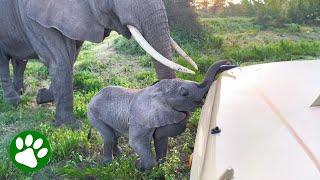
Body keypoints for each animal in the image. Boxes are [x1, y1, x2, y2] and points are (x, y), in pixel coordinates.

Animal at [0, 0, 196, 126]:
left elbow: (71, 57)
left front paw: (43, 97)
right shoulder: (31, 17)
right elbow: (59, 61)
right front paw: (69, 127)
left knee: (20, 61)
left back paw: (21, 92)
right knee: (3, 62)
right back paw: (14, 101)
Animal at [87, 60, 235, 170]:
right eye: (184, 93)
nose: (231, 63)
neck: (157, 92)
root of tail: (92, 97)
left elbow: (160, 137)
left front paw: (160, 167)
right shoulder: (140, 121)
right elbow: (136, 142)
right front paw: (140, 167)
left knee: (114, 136)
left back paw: (120, 156)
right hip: (93, 115)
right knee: (109, 137)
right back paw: (110, 163)